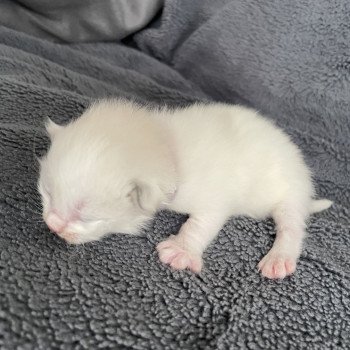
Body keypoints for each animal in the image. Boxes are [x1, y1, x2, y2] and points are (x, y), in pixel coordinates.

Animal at [37, 99, 330, 278]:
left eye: (88, 218)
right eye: (47, 194)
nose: (52, 225)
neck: (168, 147)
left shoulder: (216, 196)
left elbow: (202, 223)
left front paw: (181, 250)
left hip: (290, 188)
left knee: (292, 225)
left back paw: (279, 257)